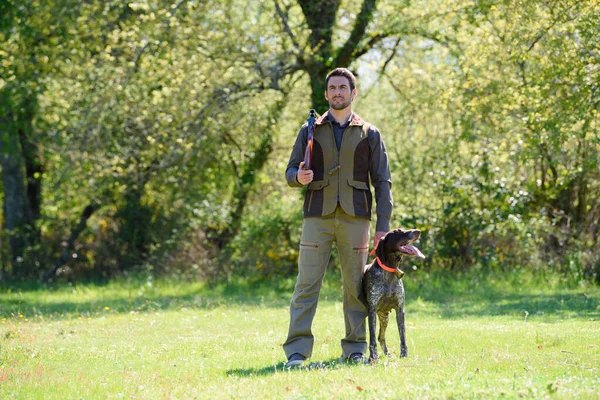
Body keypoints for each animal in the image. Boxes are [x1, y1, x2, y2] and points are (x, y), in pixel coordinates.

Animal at [360, 228, 426, 362]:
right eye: (398, 232)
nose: (418, 231)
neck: (389, 270)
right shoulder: (372, 310)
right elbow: (372, 339)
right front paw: (373, 358)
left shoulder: (400, 310)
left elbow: (403, 337)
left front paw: (404, 356)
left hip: (385, 317)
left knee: (381, 337)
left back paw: (389, 355)